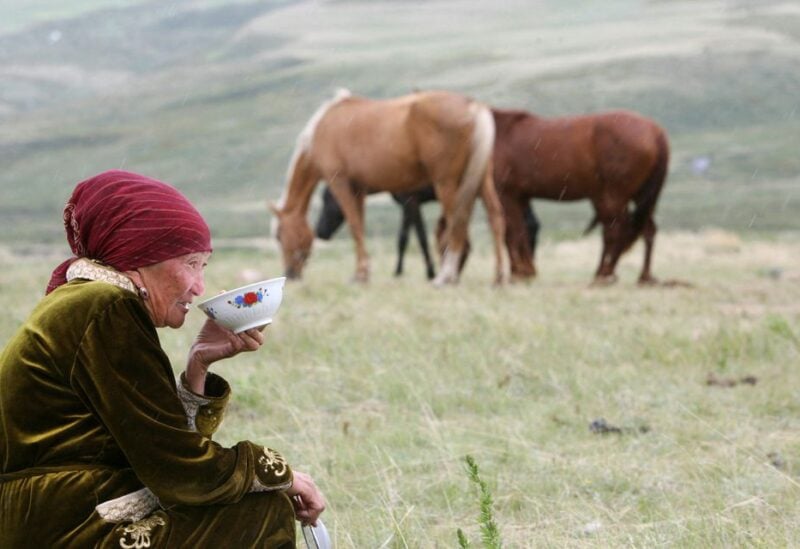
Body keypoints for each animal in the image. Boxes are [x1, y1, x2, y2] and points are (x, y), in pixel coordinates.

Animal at [268, 88, 506, 284]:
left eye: (279, 235)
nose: (290, 274)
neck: (323, 127)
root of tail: (473, 106)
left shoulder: (340, 183)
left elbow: (354, 225)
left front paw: (361, 274)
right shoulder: (359, 189)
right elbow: (360, 226)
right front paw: (362, 272)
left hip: (447, 183)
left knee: (457, 223)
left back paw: (446, 276)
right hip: (481, 180)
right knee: (495, 218)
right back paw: (498, 277)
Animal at [316, 184, 540, 280]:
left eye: (328, 198)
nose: (319, 231)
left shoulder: (411, 202)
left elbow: (411, 238)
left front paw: (411, 272)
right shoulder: (410, 205)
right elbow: (411, 237)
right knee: (529, 224)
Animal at [494, 108, 668, 284]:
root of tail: (656, 132)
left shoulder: (507, 194)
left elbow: (512, 232)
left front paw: (519, 273)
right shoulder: (521, 197)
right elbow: (524, 228)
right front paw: (525, 271)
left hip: (614, 197)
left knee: (617, 231)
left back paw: (604, 273)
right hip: (640, 198)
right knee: (646, 230)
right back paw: (642, 276)